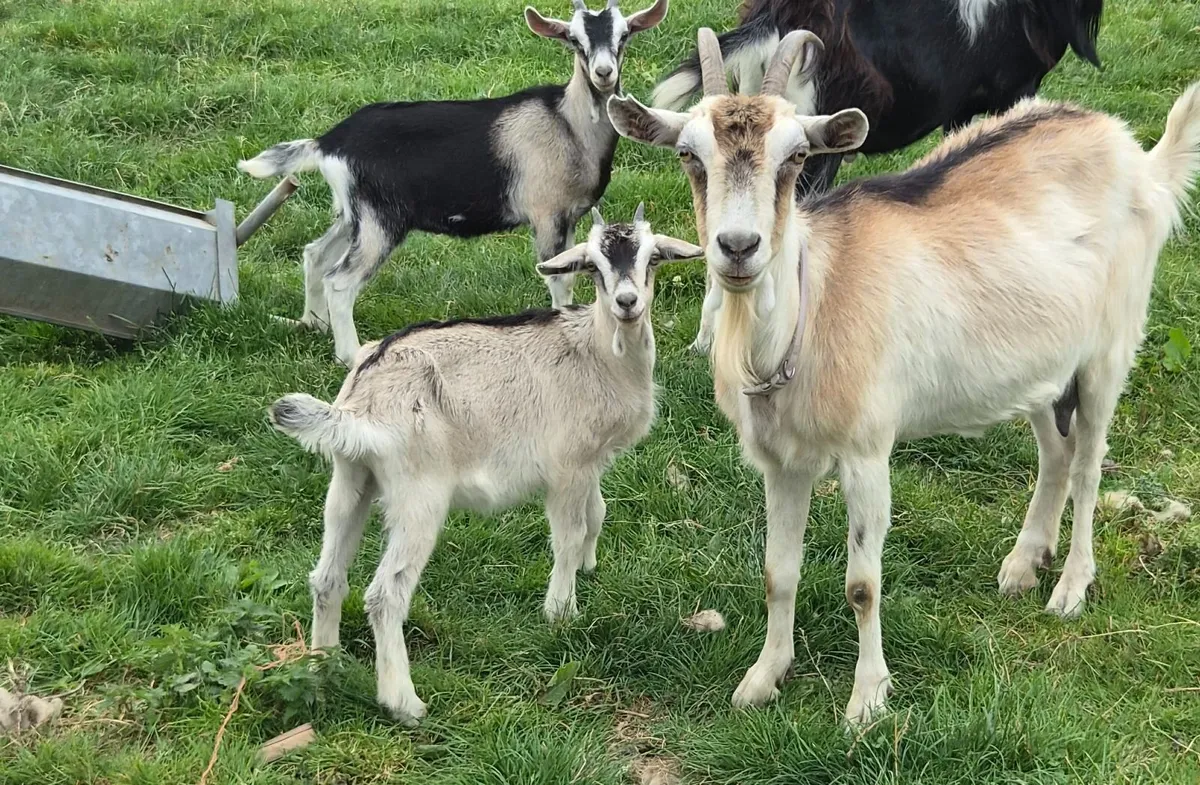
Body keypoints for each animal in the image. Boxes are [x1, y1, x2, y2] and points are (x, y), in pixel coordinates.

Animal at [238, 0, 669, 366]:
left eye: (624, 36)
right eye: (575, 40)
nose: (603, 73)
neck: (569, 123)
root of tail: (328, 143)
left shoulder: (570, 218)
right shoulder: (548, 215)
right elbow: (559, 277)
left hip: (354, 213)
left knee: (315, 254)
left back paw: (312, 324)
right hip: (380, 220)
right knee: (341, 282)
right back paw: (349, 353)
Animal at [268, 207, 701, 724]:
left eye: (652, 258)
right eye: (594, 268)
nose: (627, 302)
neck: (597, 351)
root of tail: (362, 402)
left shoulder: (590, 461)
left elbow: (597, 514)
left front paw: (590, 566)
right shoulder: (567, 465)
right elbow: (569, 534)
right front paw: (561, 611)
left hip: (352, 477)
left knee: (327, 578)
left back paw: (322, 668)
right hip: (420, 495)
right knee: (385, 595)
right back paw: (403, 702)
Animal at [609, 28, 1200, 726]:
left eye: (796, 158)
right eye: (688, 155)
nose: (738, 247)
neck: (812, 306)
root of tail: (1138, 158)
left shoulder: (867, 451)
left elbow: (862, 585)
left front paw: (866, 702)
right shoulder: (782, 461)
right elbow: (778, 572)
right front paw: (762, 679)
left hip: (1109, 346)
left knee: (1087, 462)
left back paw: (1070, 587)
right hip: (1040, 365)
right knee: (1056, 453)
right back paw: (1023, 564)